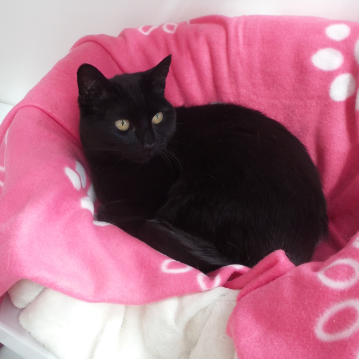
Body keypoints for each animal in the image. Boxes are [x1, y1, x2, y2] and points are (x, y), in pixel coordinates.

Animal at [76, 55, 330, 272]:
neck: (122, 167)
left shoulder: (152, 200)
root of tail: (274, 259)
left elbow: (106, 211)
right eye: (122, 123)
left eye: (157, 117)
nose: (149, 143)